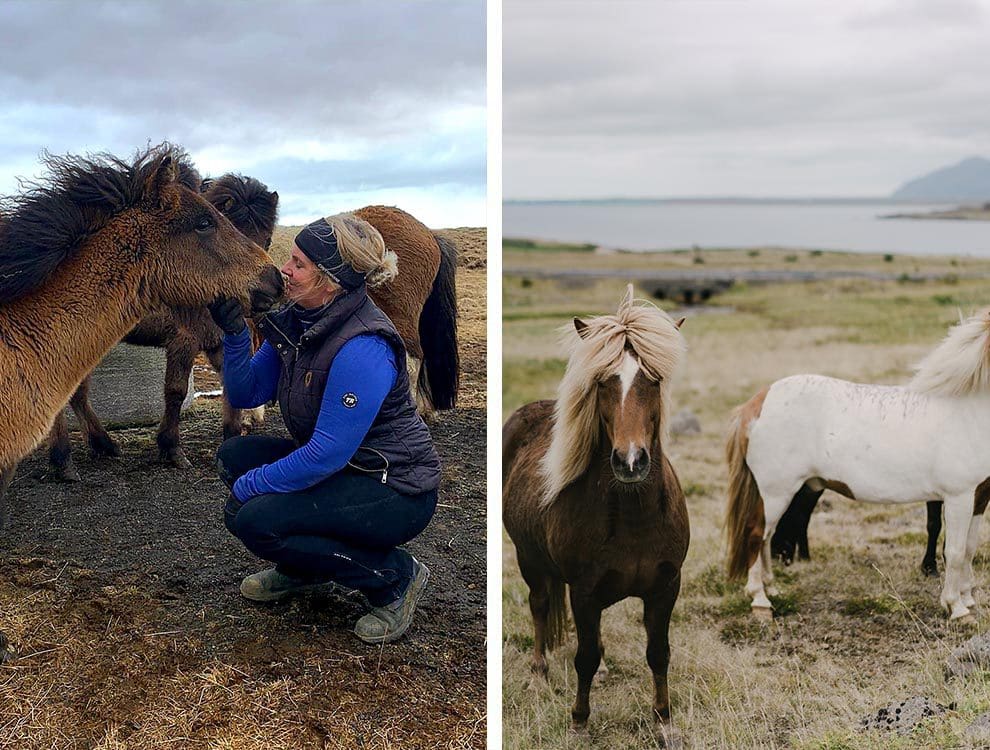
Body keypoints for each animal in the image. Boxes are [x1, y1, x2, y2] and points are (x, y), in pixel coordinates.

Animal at [45, 172, 280, 476]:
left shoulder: (216, 340)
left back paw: (103, 444)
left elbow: (233, 382)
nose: (268, 291)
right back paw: (63, 459)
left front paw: (232, 433)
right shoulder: (184, 340)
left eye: (267, 239)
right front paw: (171, 448)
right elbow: (176, 392)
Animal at [504, 284, 688, 748]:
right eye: (604, 382)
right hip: (529, 561)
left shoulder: (666, 587)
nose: (630, 461)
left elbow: (658, 653)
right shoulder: (583, 591)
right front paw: (579, 722)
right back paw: (538, 675)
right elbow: (584, 656)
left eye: (653, 379)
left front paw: (664, 721)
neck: (634, 517)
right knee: (539, 608)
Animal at [724, 308, 990, 624]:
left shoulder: (979, 497)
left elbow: (970, 549)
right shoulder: (958, 497)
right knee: (756, 535)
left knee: (766, 539)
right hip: (775, 492)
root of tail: (757, 403)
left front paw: (968, 599)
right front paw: (957, 608)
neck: (966, 410)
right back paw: (760, 602)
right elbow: (956, 551)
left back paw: (772, 588)